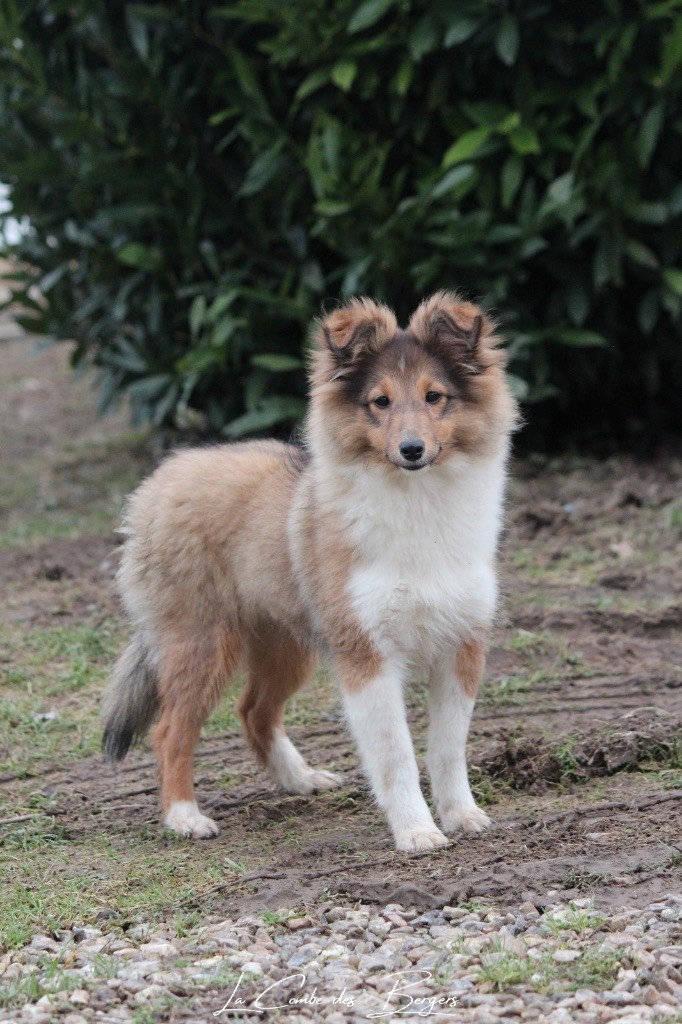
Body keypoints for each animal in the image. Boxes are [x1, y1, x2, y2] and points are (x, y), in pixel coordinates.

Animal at [102, 292, 517, 852]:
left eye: (435, 397)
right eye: (379, 402)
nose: (411, 450)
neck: (417, 504)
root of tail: (160, 480)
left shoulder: (462, 645)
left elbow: (448, 748)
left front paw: (461, 815)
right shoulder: (366, 654)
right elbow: (396, 756)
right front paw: (416, 831)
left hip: (286, 643)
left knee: (253, 711)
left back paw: (300, 779)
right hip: (201, 642)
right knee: (171, 731)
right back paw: (185, 816)